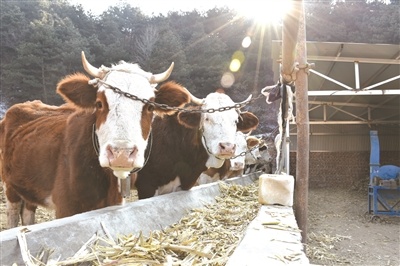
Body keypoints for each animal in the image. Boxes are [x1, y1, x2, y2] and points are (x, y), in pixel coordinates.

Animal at [0, 52, 191, 229]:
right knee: (13, 215)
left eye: (150, 107)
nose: (121, 154)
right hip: (10, 186)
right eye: (99, 103)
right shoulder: (66, 207)